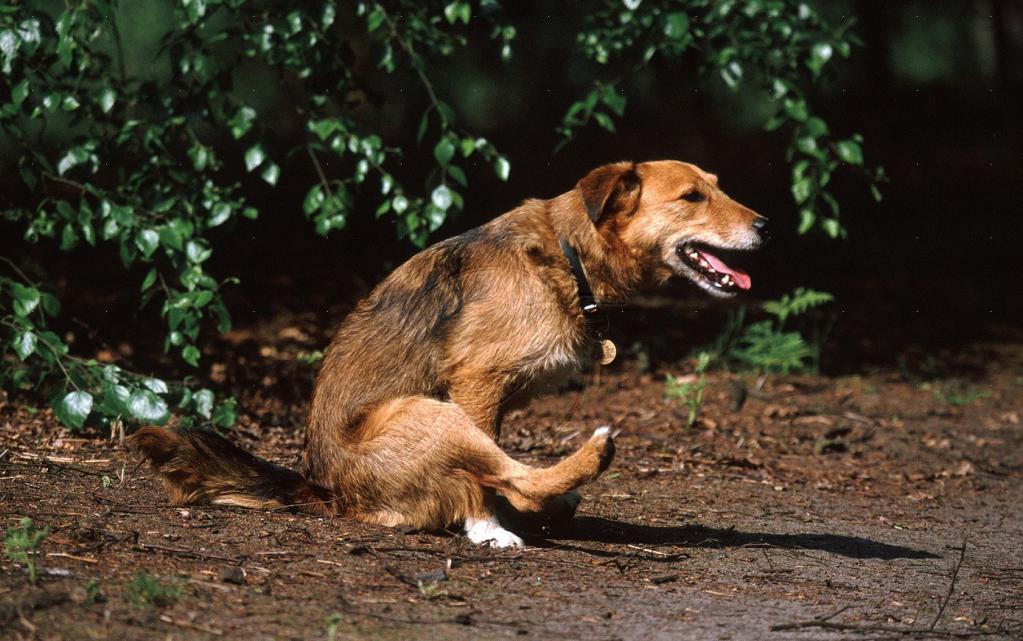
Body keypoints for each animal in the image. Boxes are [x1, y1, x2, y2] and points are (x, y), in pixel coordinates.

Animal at [127, 159, 765, 547]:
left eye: (716, 186)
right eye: (692, 197)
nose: (766, 224)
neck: (568, 256)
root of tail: (326, 493)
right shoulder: (477, 382)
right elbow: (491, 479)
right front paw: (486, 527)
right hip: (429, 413)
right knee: (507, 473)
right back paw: (577, 469)